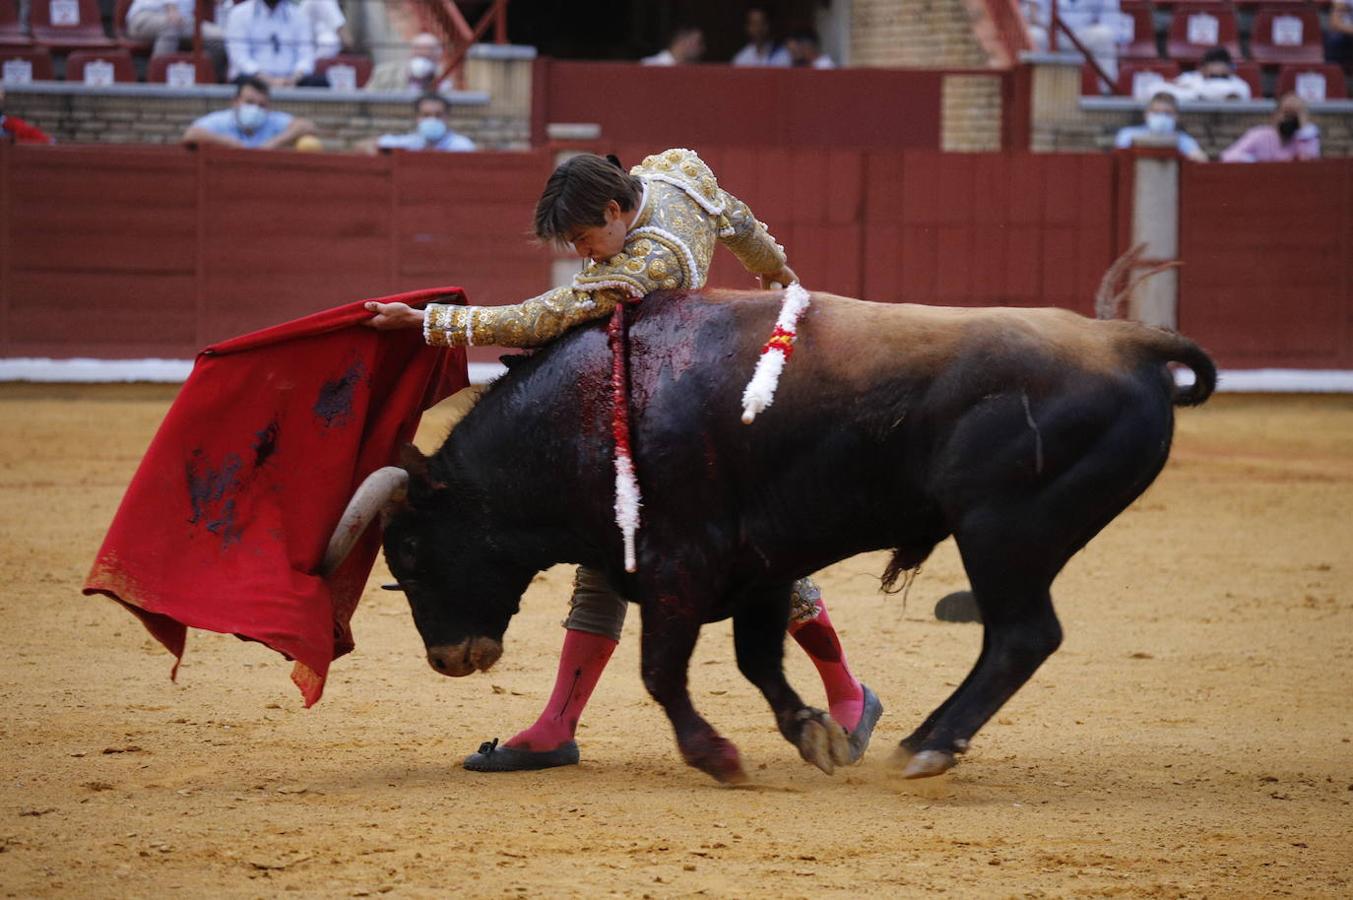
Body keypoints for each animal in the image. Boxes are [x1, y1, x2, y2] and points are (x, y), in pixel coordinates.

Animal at [324, 288, 1217, 779]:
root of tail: (1131, 340)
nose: (450, 660)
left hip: (1001, 532)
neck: (595, 405)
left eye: (407, 555)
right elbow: (758, 659)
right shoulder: (757, 562)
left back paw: (928, 745)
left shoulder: (680, 561)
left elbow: (660, 671)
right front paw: (815, 734)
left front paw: (716, 756)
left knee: (1021, 635)